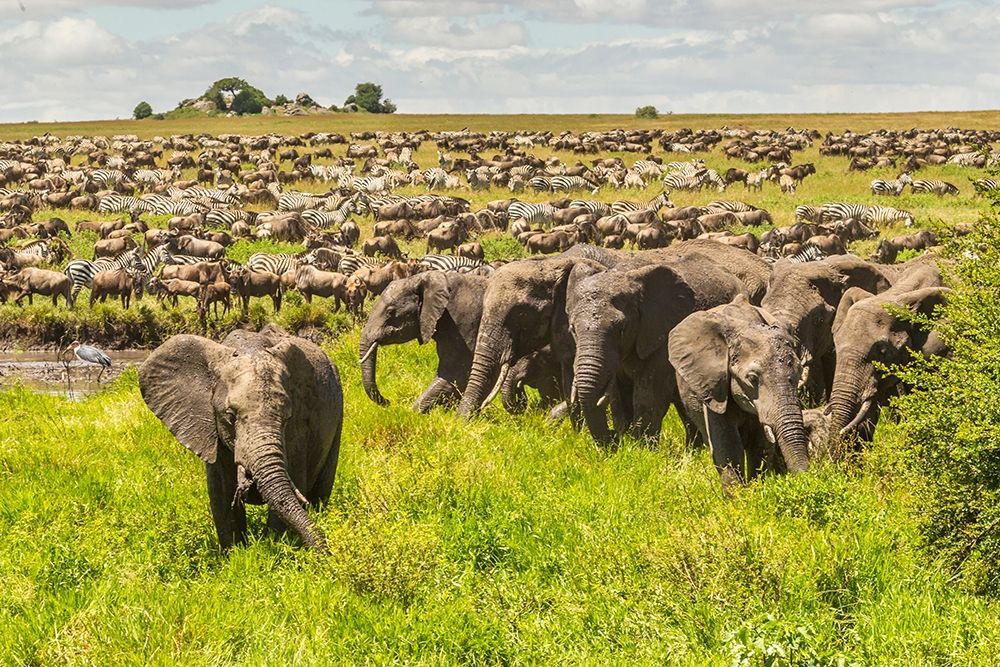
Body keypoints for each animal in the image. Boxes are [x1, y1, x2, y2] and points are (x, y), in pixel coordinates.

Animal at [138, 326, 343, 552]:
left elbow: (292, 482)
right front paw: (235, 555)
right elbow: (221, 495)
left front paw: (273, 549)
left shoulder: (298, 429)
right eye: (230, 416)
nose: (325, 553)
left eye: (287, 418)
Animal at [669, 298, 810, 489]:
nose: (805, 479)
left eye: (799, 373)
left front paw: (756, 488)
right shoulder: (715, 386)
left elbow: (759, 447)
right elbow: (728, 446)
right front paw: (738, 496)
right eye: (752, 378)